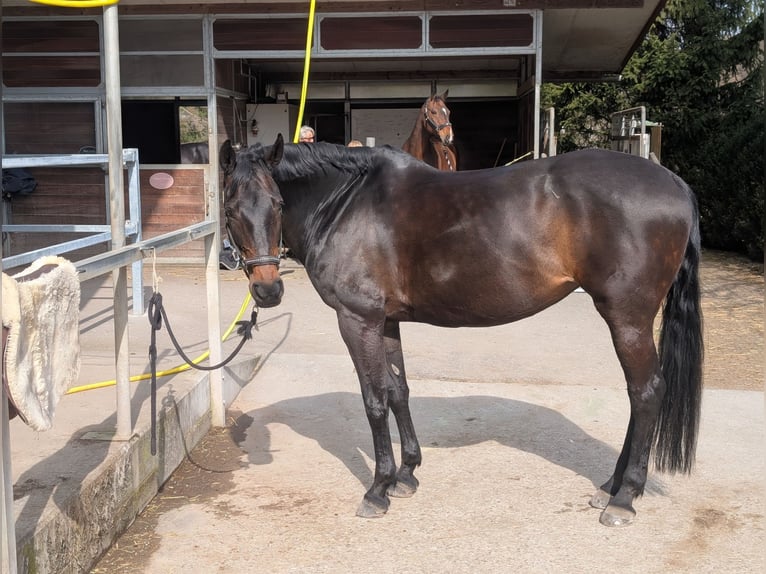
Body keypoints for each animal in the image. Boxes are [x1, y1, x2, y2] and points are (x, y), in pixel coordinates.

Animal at [219, 134, 703, 528]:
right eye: (231, 209)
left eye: (278, 204)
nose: (267, 290)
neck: (346, 202)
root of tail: (675, 184)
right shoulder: (386, 321)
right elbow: (398, 391)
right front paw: (406, 474)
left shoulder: (358, 320)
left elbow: (373, 401)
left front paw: (377, 489)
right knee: (638, 395)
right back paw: (610, 486)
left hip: (627, 318)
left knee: (646, 393)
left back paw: (624, 498)